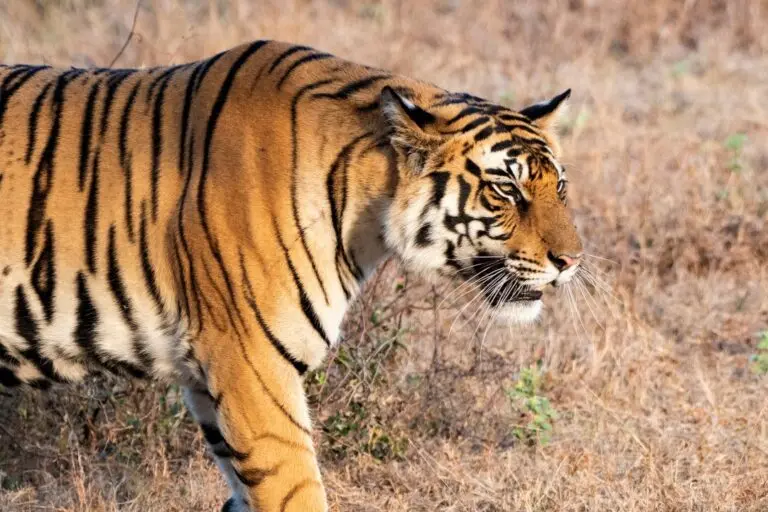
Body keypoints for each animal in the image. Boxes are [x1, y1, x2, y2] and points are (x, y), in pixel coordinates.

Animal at [0, 40, 583, 511]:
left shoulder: (210, 383)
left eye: (558, 186)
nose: (572, 261)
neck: (365, 208)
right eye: (506, 189)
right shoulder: (251, 366)